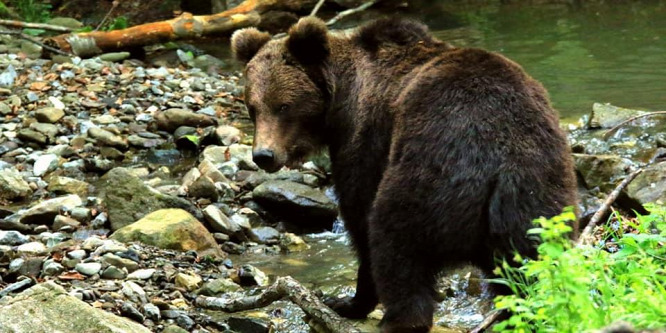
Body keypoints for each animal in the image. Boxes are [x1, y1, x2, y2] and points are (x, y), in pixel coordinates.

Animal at [231, 16, 572, 330]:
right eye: (253, 107)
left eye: (283, 106)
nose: (264, 155)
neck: (340, 99)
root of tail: (497, 162)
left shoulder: (366, 139)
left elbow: (359, 214)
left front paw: (347, 302)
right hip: (537, 196)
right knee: (530, 269)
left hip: (428, 172)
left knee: (396, 243)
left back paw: (396, 318)